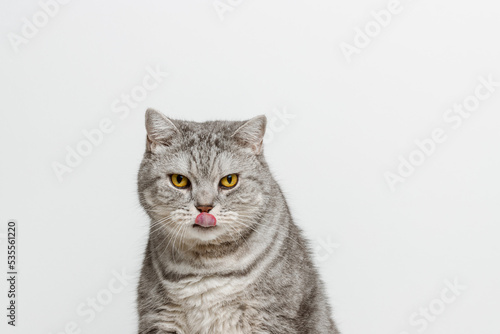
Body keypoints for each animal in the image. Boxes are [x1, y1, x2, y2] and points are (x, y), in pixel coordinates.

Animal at [137, 108, 340, 332]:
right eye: (179, 180)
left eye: (229, 180)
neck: (207, 265)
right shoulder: (159, 318)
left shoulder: (274, 318)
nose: (204, 207)